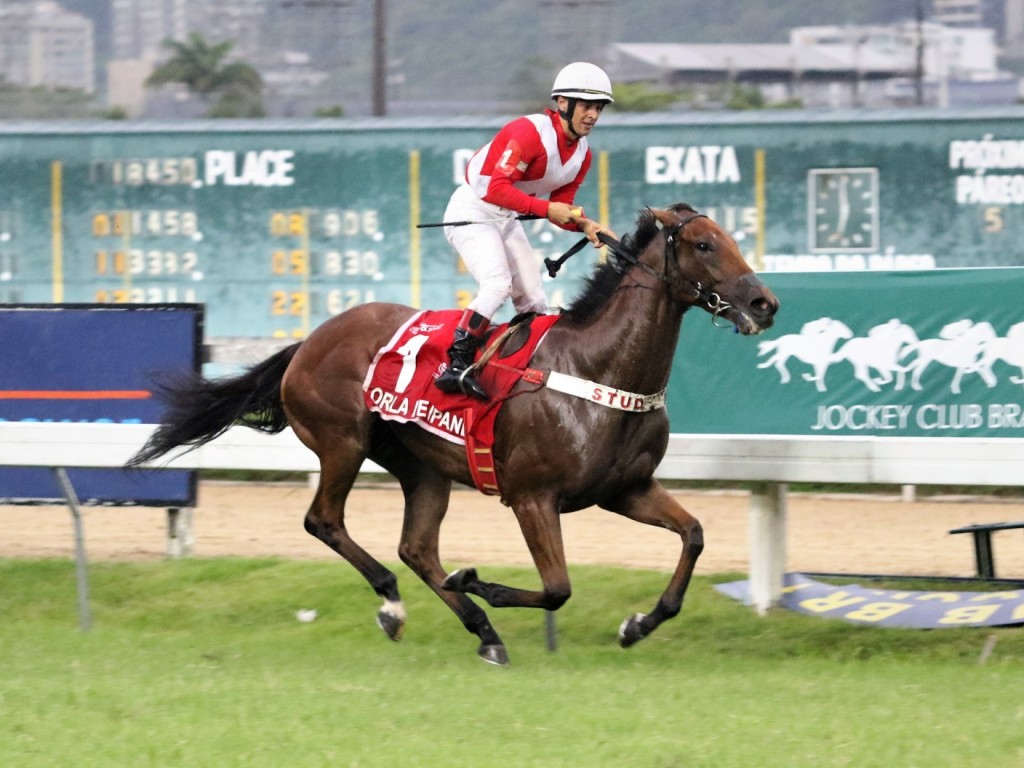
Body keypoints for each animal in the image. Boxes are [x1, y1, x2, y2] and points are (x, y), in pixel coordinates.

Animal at [132, 204, 778, 667]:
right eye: (703, 244)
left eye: (729, 238)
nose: (764, 302)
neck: (600, 369)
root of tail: (309, 340)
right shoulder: (533, 497)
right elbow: (557, 587)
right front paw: (478, 581)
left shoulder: (626, 489)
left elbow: (693, 536)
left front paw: (638, 624)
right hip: (343, 442)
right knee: (326, 522)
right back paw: (395, 604)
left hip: (423, 467)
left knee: (417, 548)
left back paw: (482, 630)